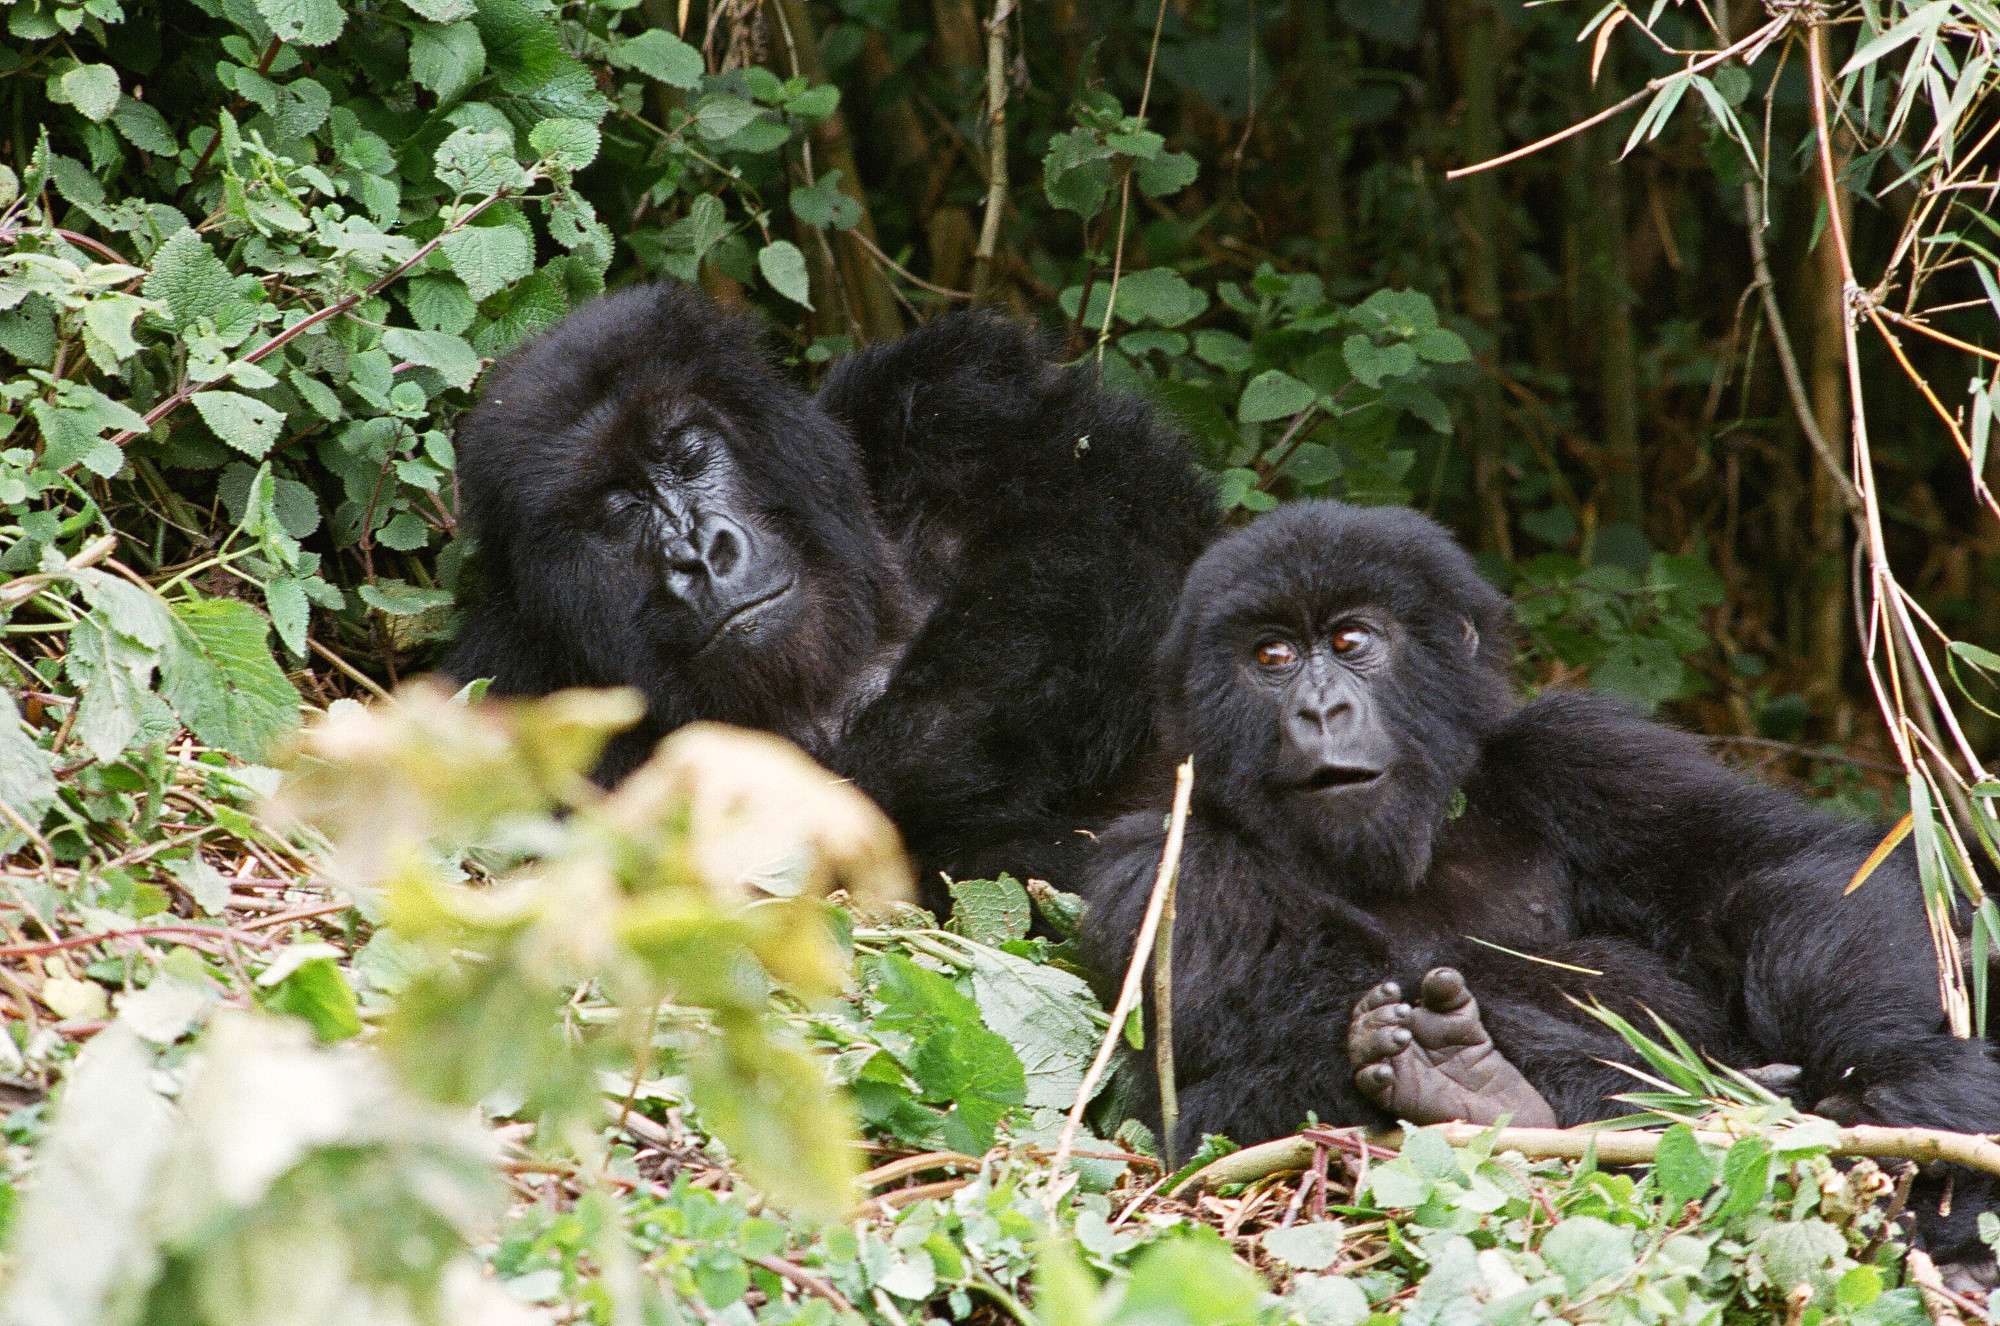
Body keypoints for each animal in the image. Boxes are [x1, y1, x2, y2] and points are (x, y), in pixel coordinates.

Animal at [444, 286, 1208, 912]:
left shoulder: (951, 393)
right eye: (618, 510)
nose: (700, 557)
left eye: (687, 452)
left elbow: (1110, 515)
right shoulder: (508, 689)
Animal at [1088, 498, 2000, 1264]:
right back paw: (1486, 1097)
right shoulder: (1163, 859)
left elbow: (1780, 871)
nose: (1319, 712)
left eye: (1351, 643)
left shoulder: (1581, 751)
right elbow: (1266, 1036)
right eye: (1271, 656)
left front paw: (1899, 1072)